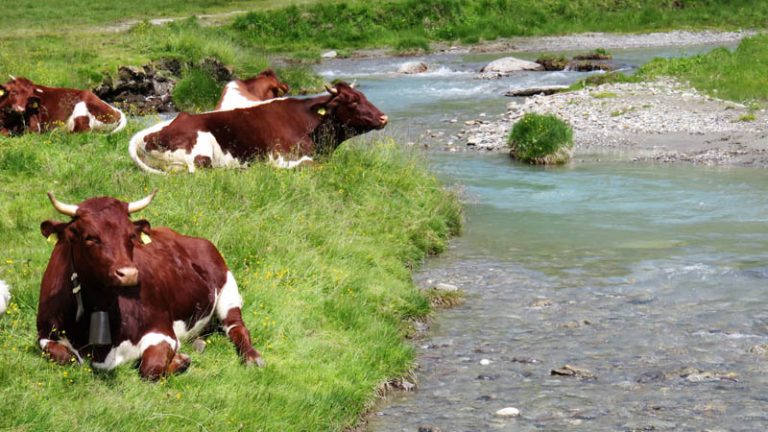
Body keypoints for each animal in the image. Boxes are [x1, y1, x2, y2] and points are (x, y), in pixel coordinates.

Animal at [36, 191, 264, 380]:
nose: (128, 274)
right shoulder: (44, 333)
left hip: (227, 288)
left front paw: (180, 361)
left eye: (130, 236)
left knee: (236, 327)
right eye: (90, 238)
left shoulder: (161, 330)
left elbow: (151, 368)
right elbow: (64, 356)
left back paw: (252, 357)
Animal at [130, 82, 390, 173]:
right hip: (199, 152)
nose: (384, 118)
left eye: (364, 96)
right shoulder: (280, 156)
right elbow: (308, 164)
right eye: (353, 101)